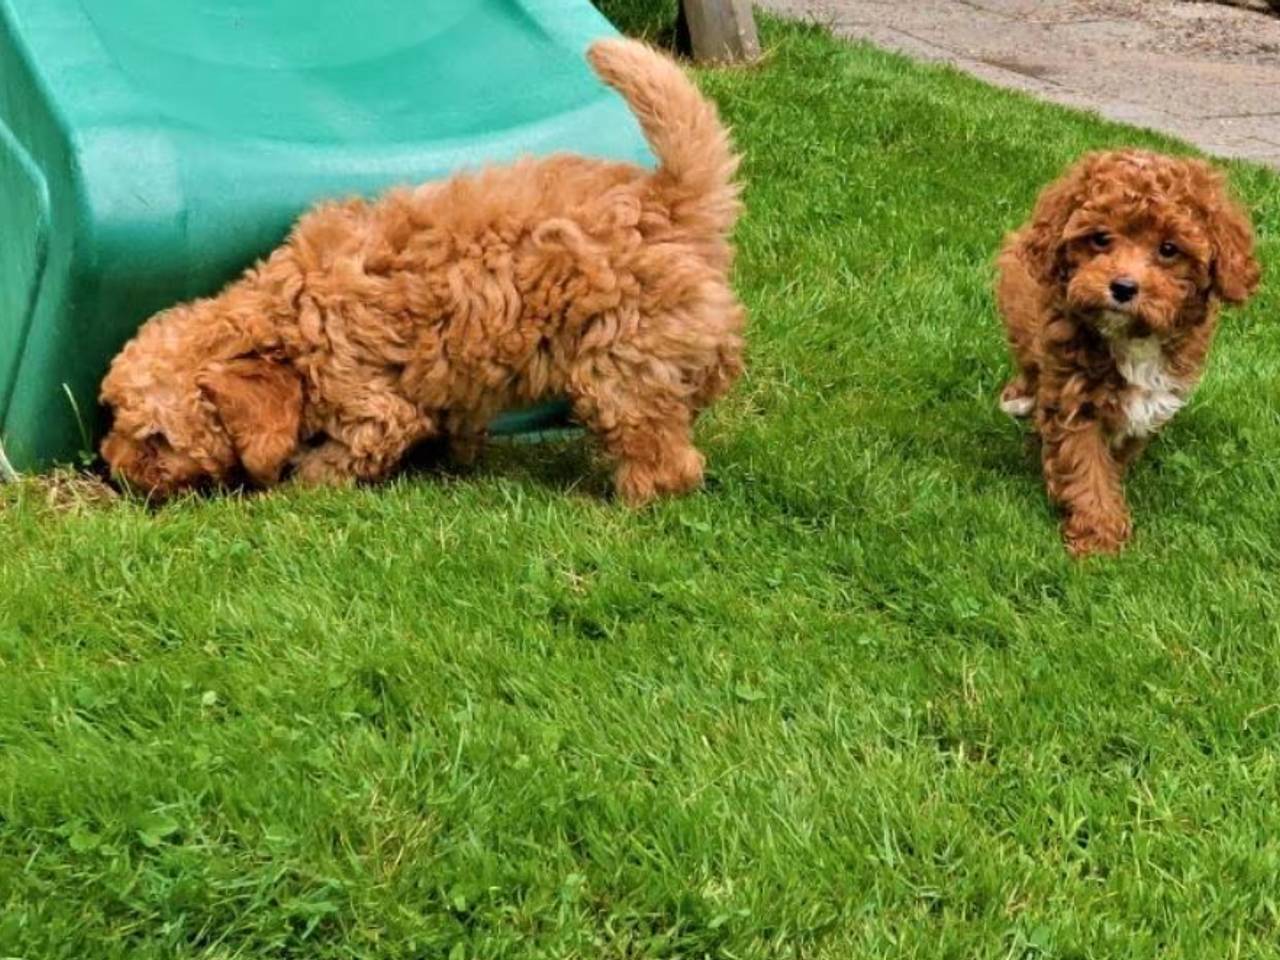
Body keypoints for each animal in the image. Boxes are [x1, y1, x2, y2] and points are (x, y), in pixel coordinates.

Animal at [100, 39, 744, 506]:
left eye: (158, 439)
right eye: (115, 417)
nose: (115, 470)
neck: (287, 319)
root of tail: (667, 201)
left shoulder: (370, 399)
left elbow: (351, 448)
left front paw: (303, 479)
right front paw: (460, 454)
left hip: (619, 362)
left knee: (659, 450)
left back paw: (629, 500)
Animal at [996, 149, 1260, 556]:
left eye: (1169, 249)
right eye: (1100, 238)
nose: (1122, 287)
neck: (1134, 338)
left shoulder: (1153, 402)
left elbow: (1113, 456)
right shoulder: (1074, 395)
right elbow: (1086, 465)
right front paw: (1099, 538)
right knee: (1027, 359)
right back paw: (1019, 397)